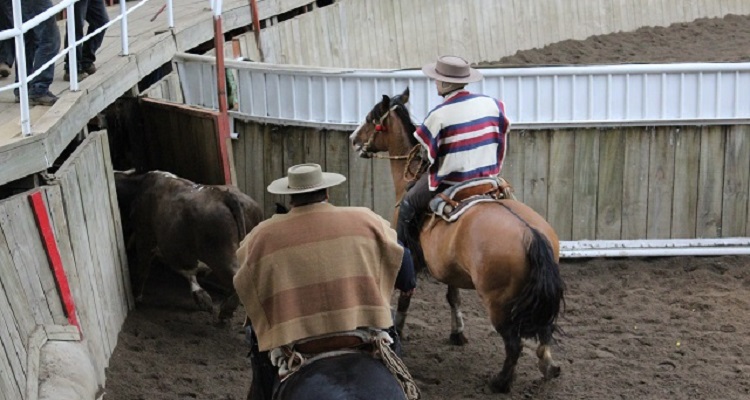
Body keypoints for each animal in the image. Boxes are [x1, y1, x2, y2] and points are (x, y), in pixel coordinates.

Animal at [350, 88, 568, 394]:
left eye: (372, 118)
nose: (354, 139)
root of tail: (532, 234)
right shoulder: (448, 266)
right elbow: (452, 296)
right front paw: (458, 332)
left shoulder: (409, 257)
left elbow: (405, 297)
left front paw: (399, 330)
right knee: (544, 329)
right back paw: (548, 366)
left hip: (498, 303)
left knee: (513, 344)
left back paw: (500, 382)